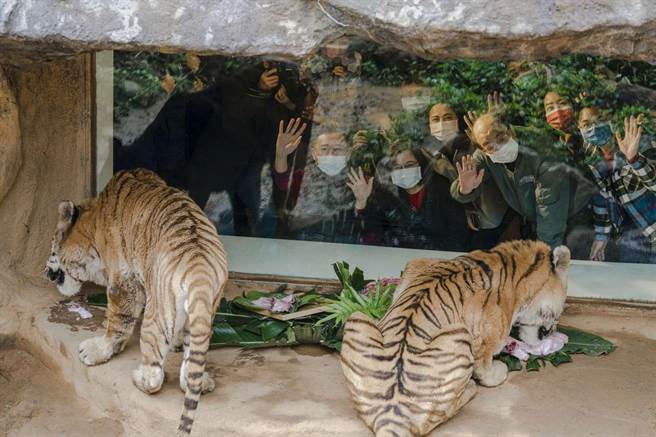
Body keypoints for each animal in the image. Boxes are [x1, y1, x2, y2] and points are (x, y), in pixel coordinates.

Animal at [44, 169, 228, 436]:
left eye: (51, 248)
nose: (45, 272)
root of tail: (199, 269)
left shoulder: (124, 282)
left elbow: (117, 322)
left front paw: (95, 351)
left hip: (156, 316)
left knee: (154, 376)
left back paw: (139, 377)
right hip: (203, 313)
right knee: (190, 366)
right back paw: (201, 381)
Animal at [340, 240, 570, 436]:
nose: (554, 330)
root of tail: (390, 417)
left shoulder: (416, 266)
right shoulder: (487, 341)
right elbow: (485, 370)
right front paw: (500, 370)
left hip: (356, 318)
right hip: (459, 336)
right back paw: (470, 388)